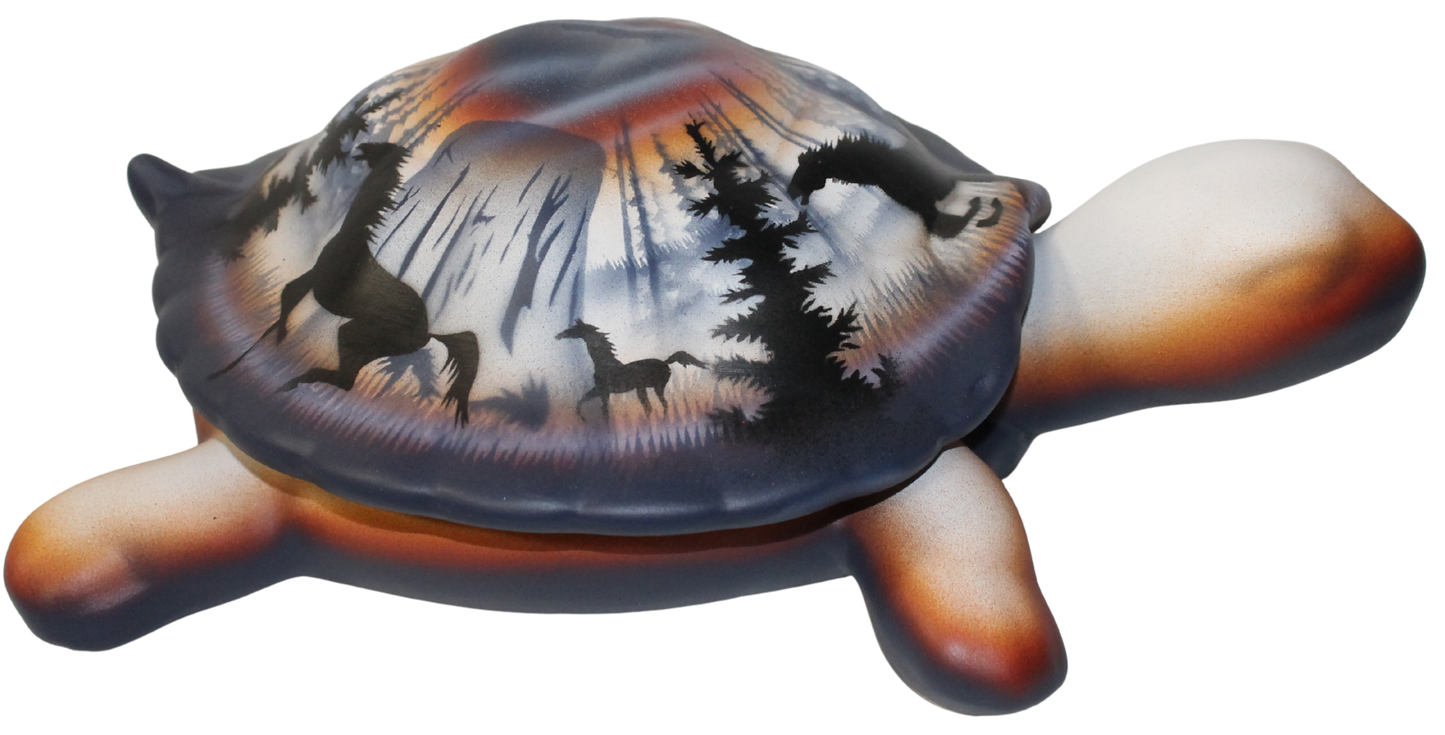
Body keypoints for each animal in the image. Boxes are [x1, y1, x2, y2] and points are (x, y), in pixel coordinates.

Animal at [210, 142, 480, 425]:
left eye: (380, 149)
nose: (360, 147)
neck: (354, 234)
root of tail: (428, 332)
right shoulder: (313, 275)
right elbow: (286, 300)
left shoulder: (316, 275)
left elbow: (288, 294)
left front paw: (280, 335)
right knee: (345, 379)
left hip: (356, 336)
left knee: (345, 380)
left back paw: (289, 385)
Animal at [555, 320, 706, 421]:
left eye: (574, 329)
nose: (558, 335)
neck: (603, 363)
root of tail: (665, 362)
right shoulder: (600, 390)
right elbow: (582, 402)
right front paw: (584, 419)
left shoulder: (603, 391)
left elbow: (602, 411)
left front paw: (587, 420)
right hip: (643, 388)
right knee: (651, 407)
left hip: (654, 387)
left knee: (660, 405)